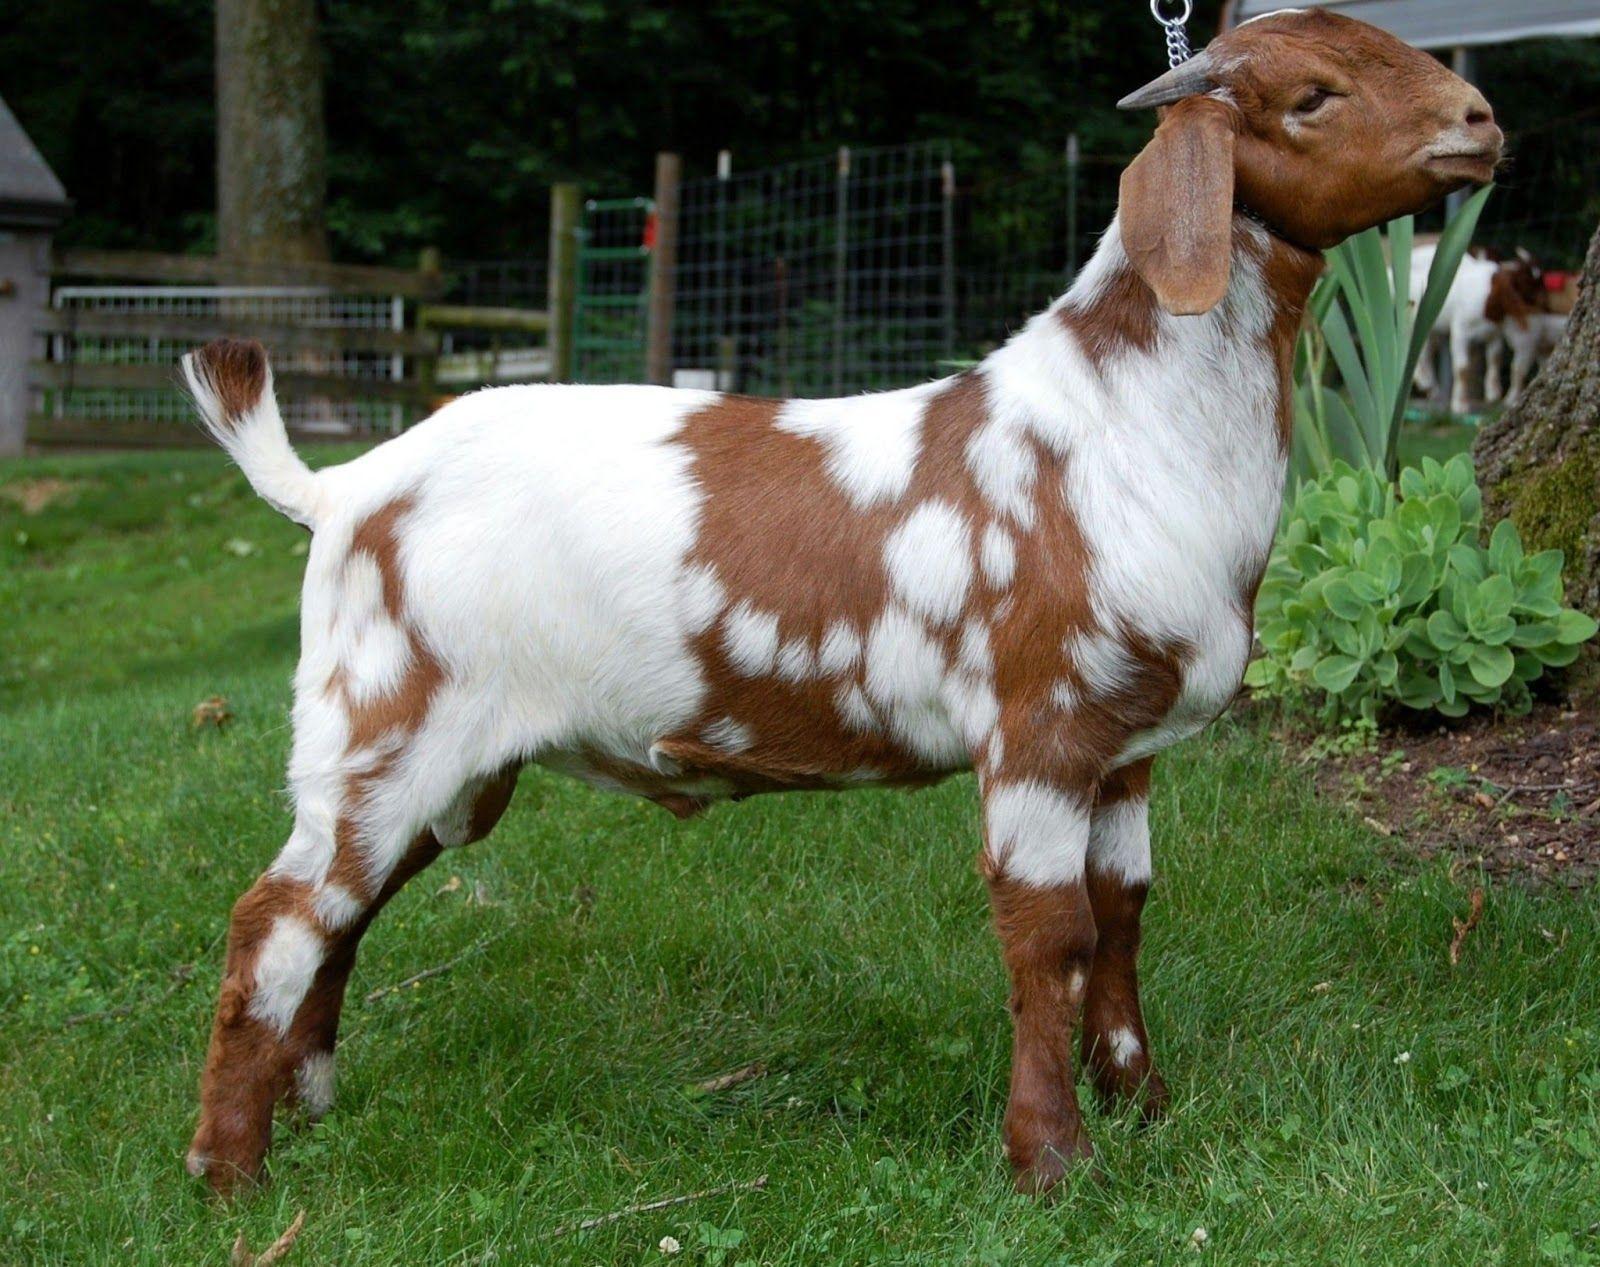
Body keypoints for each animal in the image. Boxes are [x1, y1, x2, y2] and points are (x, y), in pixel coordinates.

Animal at [180, 8, 1500, 1197]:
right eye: (1312, 95)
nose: (1479, 122)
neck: (1119, 430)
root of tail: (341, 488)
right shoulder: (1037, 725)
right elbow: (1049, 934)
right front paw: (1051, 1160)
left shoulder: (1125, 748)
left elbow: (1120, 914)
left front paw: (1142, 1101)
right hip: (379, 723)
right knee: (274, 919)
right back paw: (230, 1172)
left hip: (449, 764)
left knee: (341, 917)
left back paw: (307, 1103)